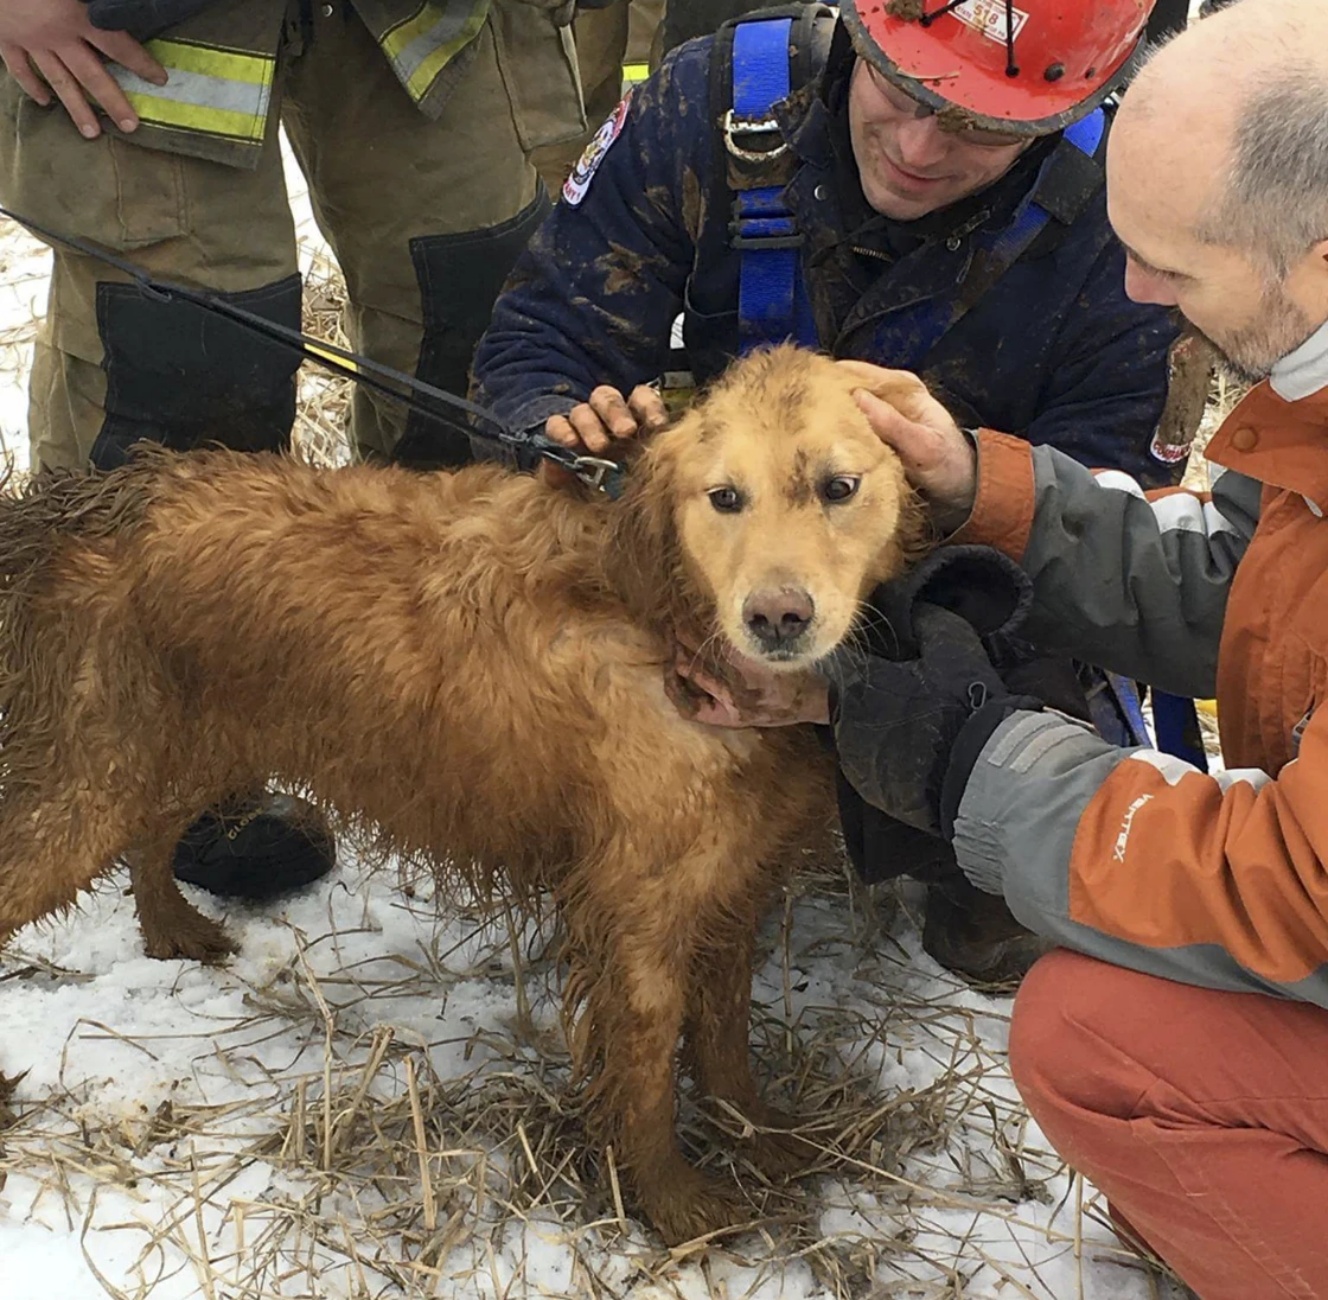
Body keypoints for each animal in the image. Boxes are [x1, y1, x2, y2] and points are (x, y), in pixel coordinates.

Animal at [0, 342, 924, 1242]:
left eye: (840, 487)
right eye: (724, 497)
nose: (778, 617)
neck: (665, 614)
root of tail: (95, 497)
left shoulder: (729, 881)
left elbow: (726, 1035)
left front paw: (761, 1137)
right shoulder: (639, 911)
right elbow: (647, 1067)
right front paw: (673, 1202)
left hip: (187, 741)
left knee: (152, 833)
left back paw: (172, 928)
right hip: (88, 782)